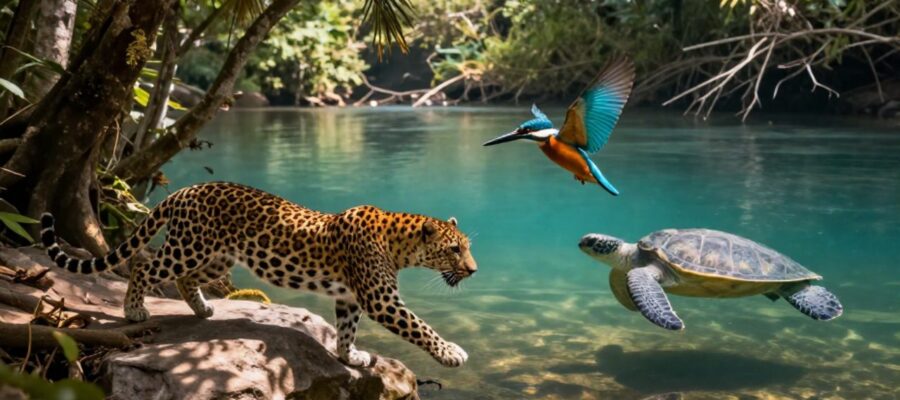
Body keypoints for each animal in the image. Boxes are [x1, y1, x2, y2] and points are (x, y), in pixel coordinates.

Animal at [40, 182, 477, 367]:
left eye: (466, 247)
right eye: (455, 249)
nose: (473, 270)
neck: (401, 244)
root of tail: (184, 190)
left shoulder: (350, 297)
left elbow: (346, 329)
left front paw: (349, 356)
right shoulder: (380, 299)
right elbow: (420, 326)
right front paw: (451, 352)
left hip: (217, 257)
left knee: (185, 279)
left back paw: (203, 311)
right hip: (188, 247)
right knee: (145, 265)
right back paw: (134, 311)